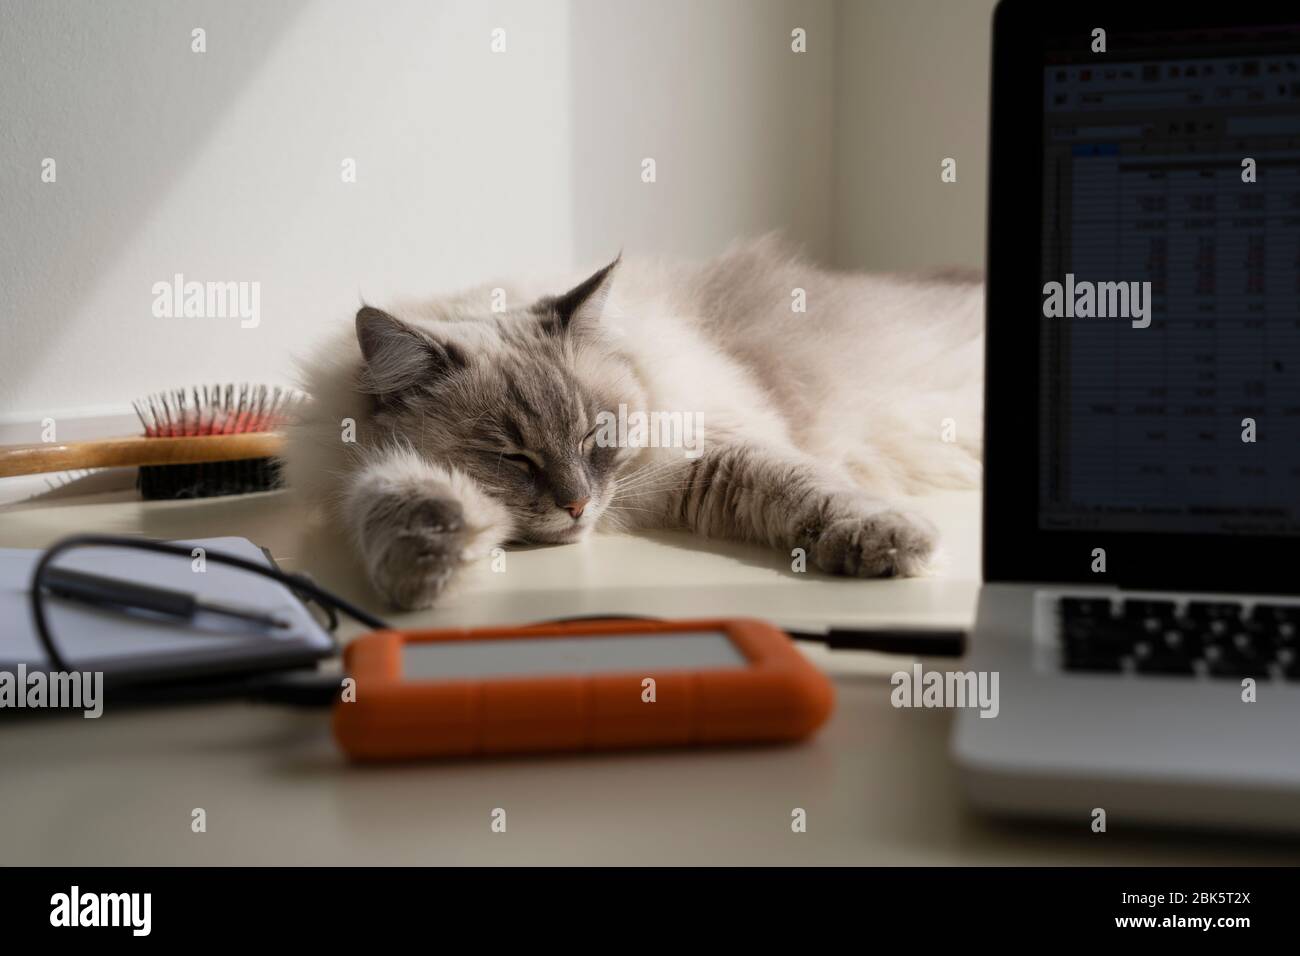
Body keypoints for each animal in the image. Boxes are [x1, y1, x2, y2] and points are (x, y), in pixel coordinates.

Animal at [279, 235, 977, 608]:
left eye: (595, 436)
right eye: (513, 458)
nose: (578, 506)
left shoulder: (707, 454)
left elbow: (814, 491)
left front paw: (893, 544)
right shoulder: (355, 471)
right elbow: (390, 495)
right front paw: (429, 560)